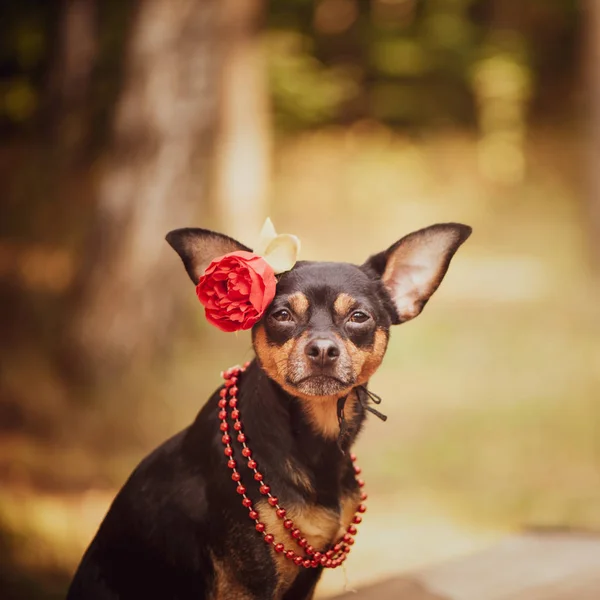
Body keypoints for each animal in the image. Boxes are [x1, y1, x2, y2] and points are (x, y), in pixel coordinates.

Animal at [65, 221, 468, 600]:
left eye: (359, 317)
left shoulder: (306, 579)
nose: (323, 349)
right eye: (282, 314)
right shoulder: (247, 583)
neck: (313, 443)